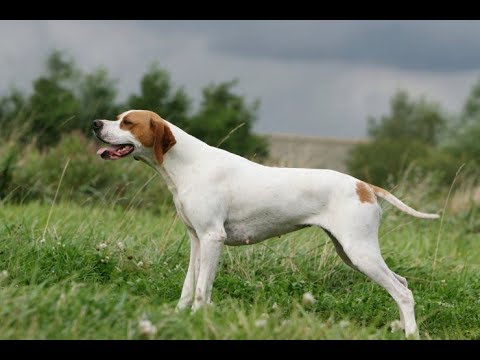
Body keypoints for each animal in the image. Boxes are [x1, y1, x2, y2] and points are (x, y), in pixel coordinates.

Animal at [92, 107, 440, 338]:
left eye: (127, 122)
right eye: (118, 117)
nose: (96, 123)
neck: (187, 165)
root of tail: (364, 185)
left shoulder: (212, 239)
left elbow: (203, 290)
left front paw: (198, 320)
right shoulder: (196, 240)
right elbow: (189, 286)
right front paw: (179, 316)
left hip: (360, 251)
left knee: (403, 292)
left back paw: (410, 333)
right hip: (351, 253)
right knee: (401, 283)